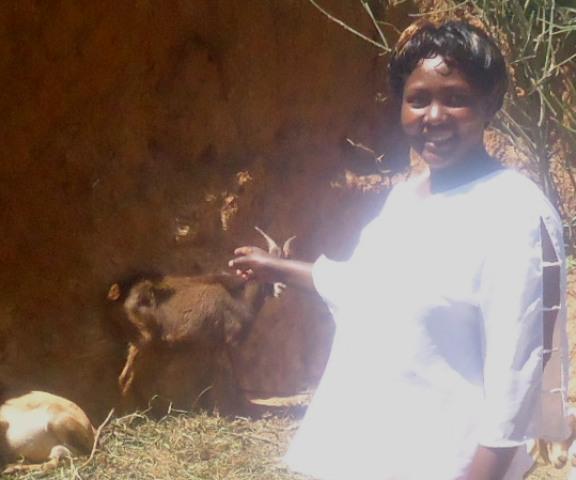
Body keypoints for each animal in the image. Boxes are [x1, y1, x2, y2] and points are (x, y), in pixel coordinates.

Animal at [108, 227, 294, 413]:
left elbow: (212, 378)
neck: (239, 296)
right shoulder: (228, 342)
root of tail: (123, 293)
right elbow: (228, 378)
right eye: (264, 270)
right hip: (142, 340)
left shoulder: (213, 345)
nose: (281, 288)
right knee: (126, 378)